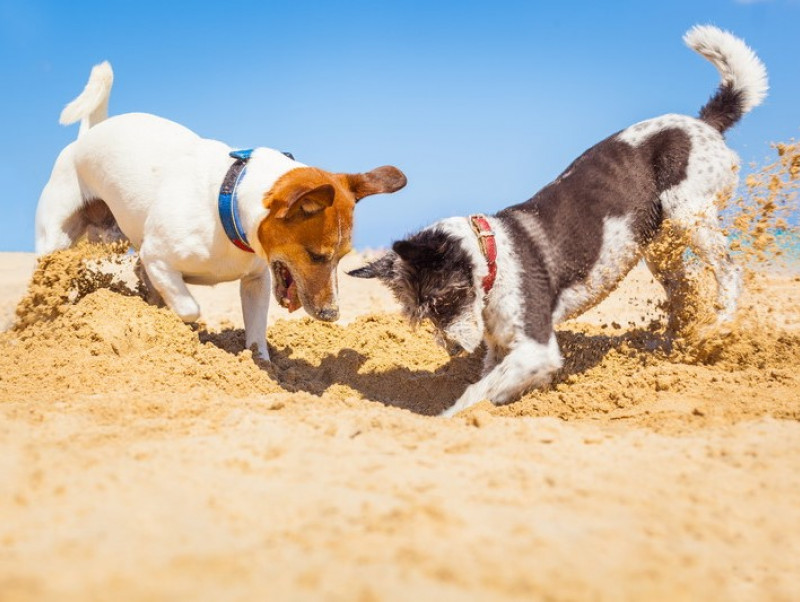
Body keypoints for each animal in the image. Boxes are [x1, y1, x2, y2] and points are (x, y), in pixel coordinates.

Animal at [36, 63, 406, 358]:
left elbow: (256, 333)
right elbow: (189, 307)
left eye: (343, 257)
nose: (332, 315)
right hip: (55, 241)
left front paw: (261, 365)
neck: (228, 205)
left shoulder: (256, 280)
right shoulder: (156, 257)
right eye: (316, 256)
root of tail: (88, 136)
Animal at [350, 24, 768, 418]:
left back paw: (718, 327)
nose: (451, 348)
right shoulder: (502, 348)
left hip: (689, 214)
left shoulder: (537, 348)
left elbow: (475, 393)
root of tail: (704, 123)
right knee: (683, 291)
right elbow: (490, 380)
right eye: (418, 313)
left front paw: (446, 418)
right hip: (659, 245)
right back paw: (671, 345)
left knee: (729, 272)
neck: (493, 257)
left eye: (441, 300)